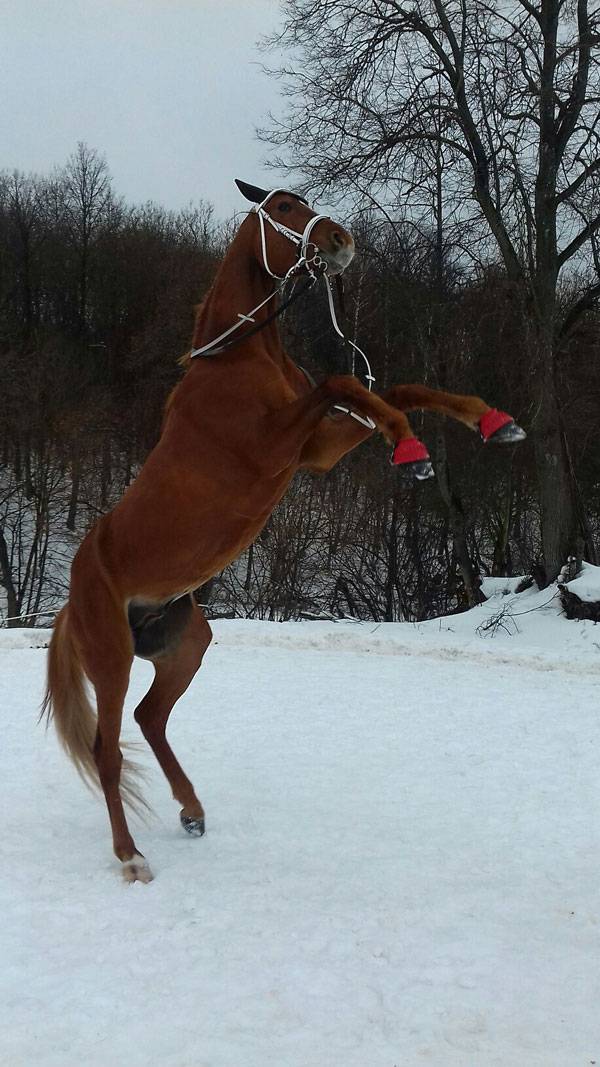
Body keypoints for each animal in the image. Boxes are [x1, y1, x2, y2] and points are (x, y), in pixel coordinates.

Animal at [42, 179, 520, 879]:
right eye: (286, 209)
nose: (342, 242)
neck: (236, 361)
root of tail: (70, 601)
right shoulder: (275, 447)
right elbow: (345, 380)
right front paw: (413, 453)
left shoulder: (314, 450)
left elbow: (394, 388)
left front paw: (490, 421)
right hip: (112, 659)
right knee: (108, 748)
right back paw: (130, 858)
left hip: (186, 645)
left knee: (151, 718)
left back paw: (192, 811)